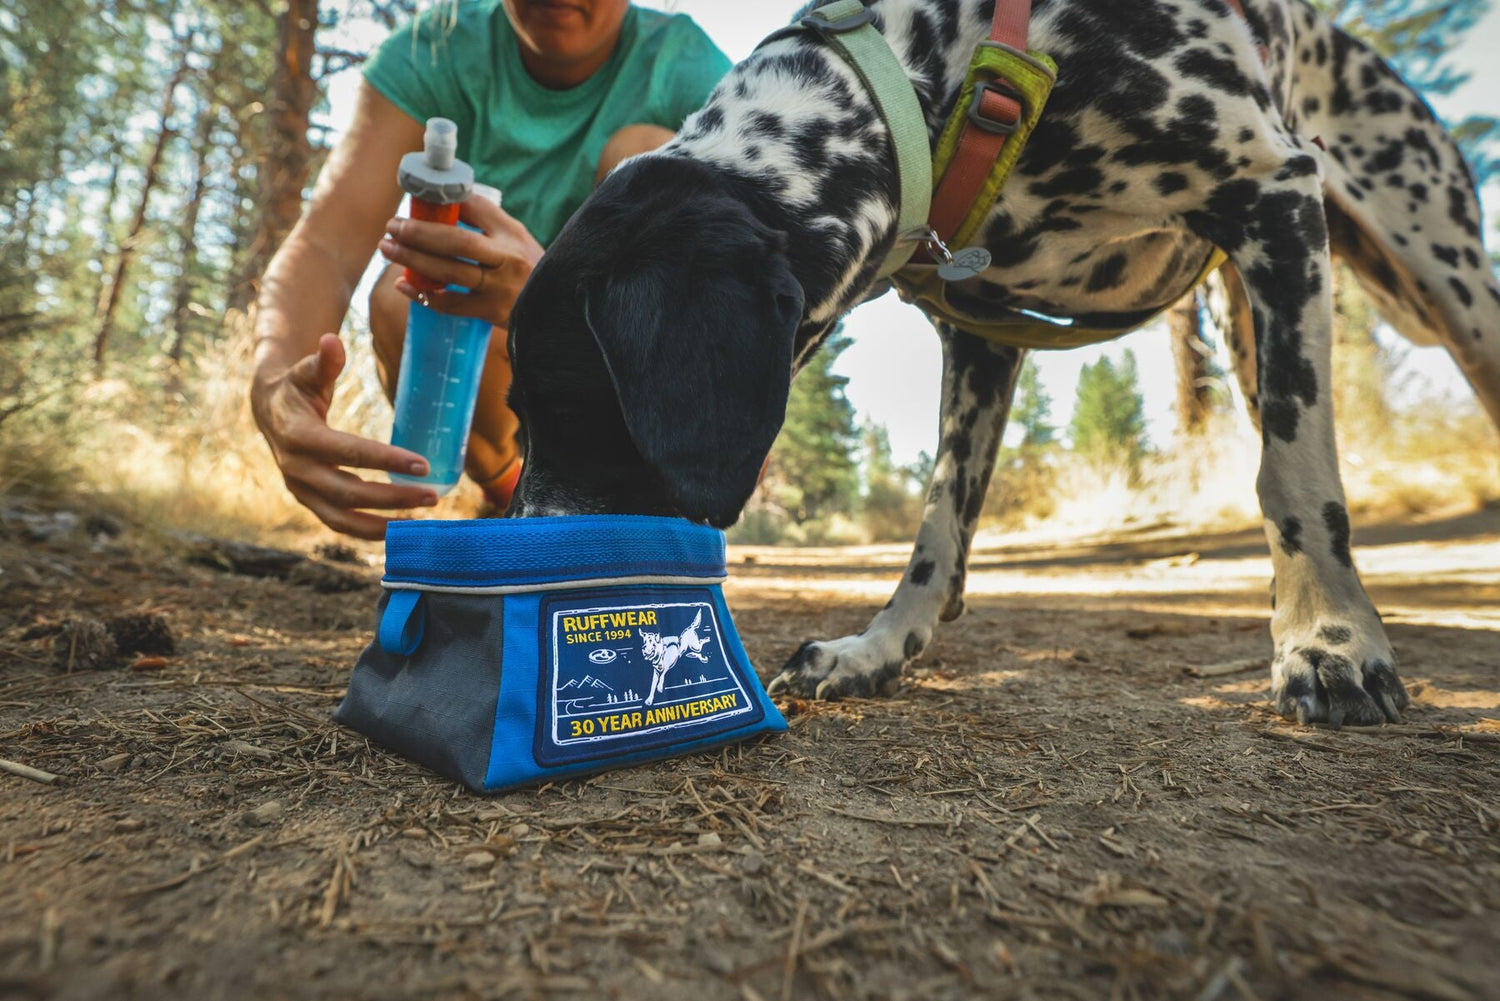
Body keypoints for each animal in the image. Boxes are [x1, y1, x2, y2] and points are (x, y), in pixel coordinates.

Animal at [507, 0, 1500, 723]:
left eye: (565, 403)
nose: (522, 554)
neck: (946, 76)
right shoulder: (983, 335)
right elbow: (938, 530)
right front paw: (879, 649)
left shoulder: (1272, 191)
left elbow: (1296, 475)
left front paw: (1330, 644)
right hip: (1252, 316)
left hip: (1436, 278)